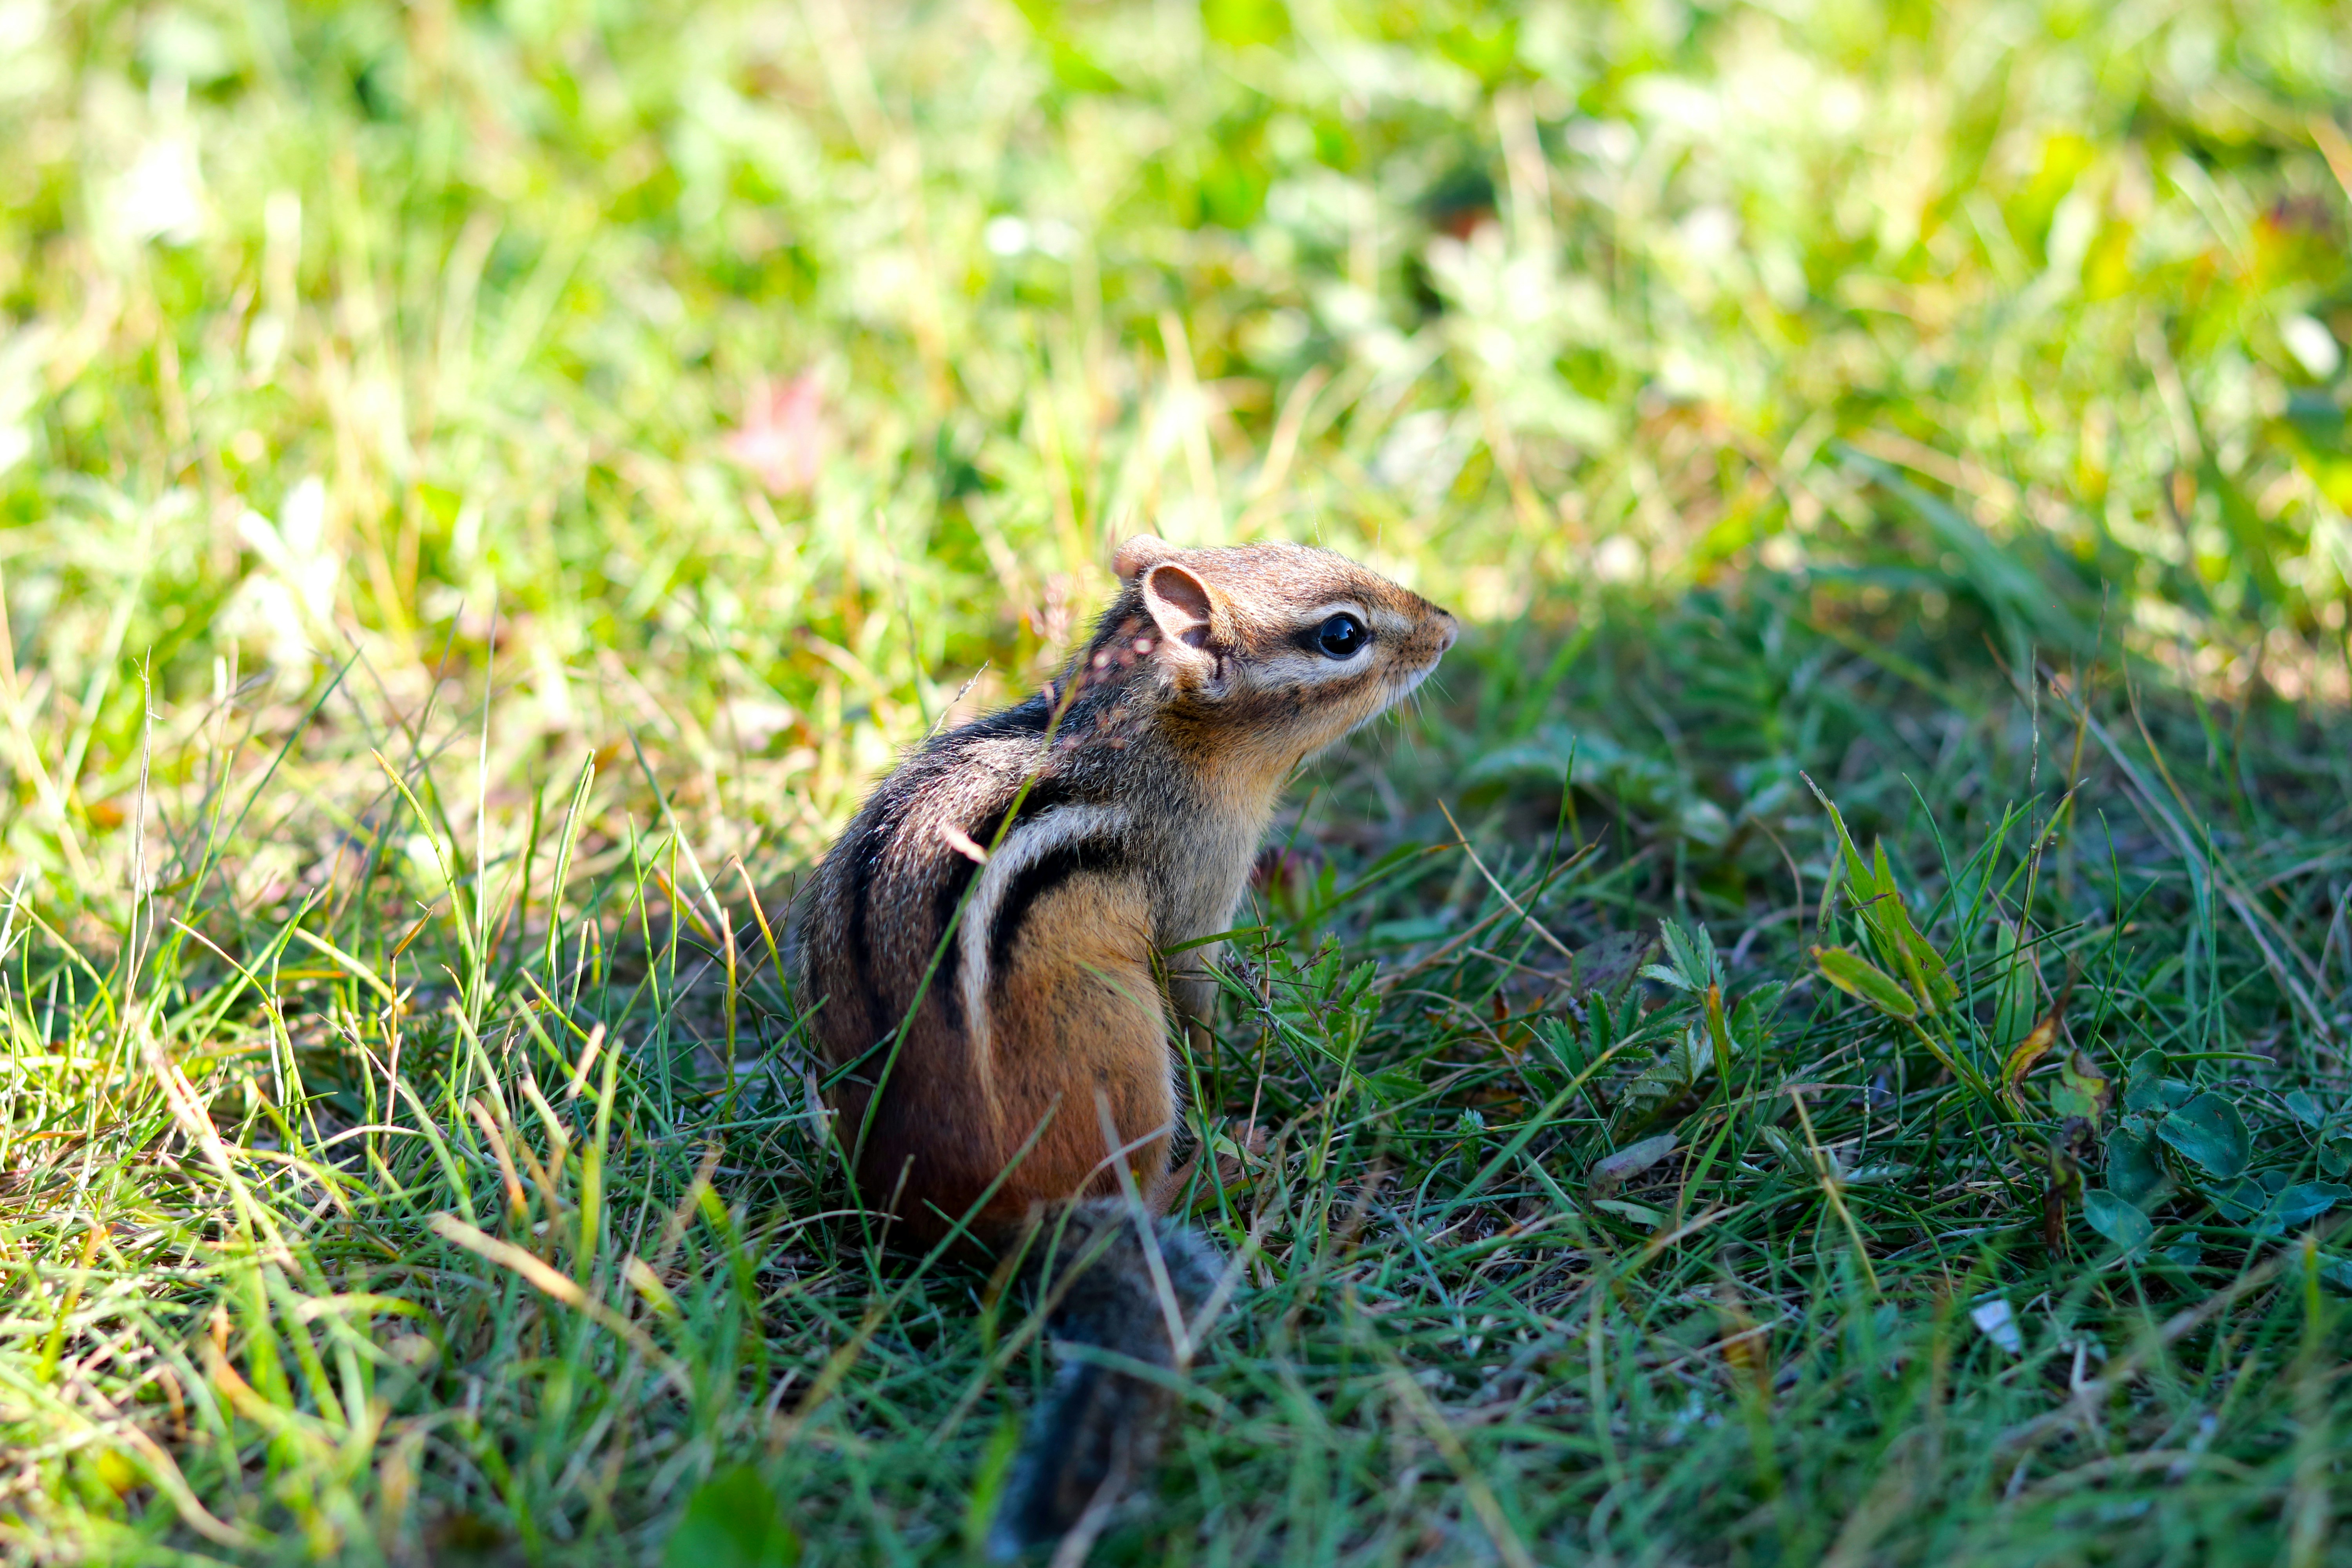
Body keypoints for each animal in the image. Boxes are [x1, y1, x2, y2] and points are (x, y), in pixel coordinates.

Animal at [793, 534, 1457, 1554]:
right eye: (1342, 633)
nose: (1448, 626)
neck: (1148, 728)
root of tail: (996, 1217)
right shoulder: (1199, 891)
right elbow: (1203, 1004)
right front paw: (1263, 1084)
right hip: (1130, 1055)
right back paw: (1237, 1168)